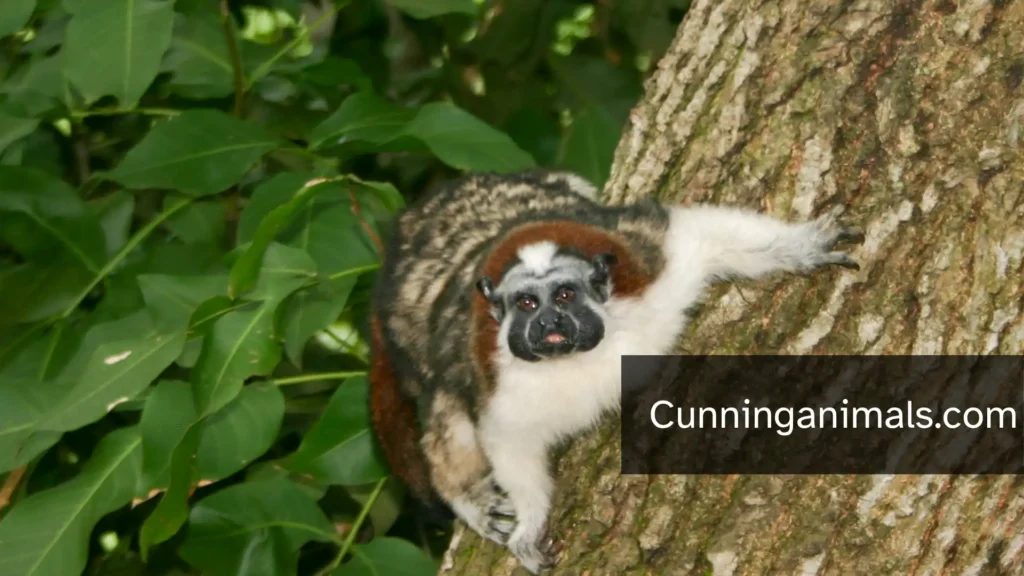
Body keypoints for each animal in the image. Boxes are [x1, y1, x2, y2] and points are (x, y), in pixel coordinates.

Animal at [367, 170, 863, 573]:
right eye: (527, 303)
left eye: (564, 296)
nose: (548, 324)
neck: (584, 355)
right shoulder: (497, 378)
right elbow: (507, 439)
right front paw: (529, 523)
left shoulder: (648, 267)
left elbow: (701, 236)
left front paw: (801, 246)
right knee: (445, 404)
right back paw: (465, 494)